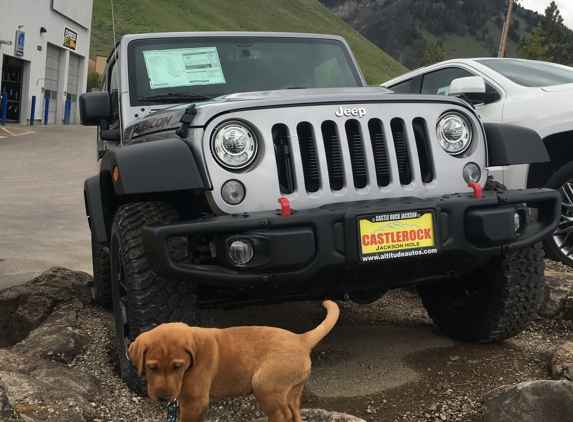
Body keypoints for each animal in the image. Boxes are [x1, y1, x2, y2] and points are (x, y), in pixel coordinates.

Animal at [127, 300, 338, 422]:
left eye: (177, 367)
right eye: (152, 368)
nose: (163, 397)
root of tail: (301, 339)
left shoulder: (194, 403)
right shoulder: (196, 404)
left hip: (264, 385)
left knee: (282, 414)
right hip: (291, 392)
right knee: (294, 414)